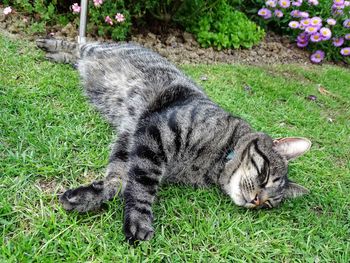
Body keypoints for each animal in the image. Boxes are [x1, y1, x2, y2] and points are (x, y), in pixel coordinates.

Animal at [36, 38, 312, 243]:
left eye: (269, 204)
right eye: (264, 176)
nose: (256, 201)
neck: (218, 158)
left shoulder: (130, 139)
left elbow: (117, 179)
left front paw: (86, 197)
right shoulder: (157, 133)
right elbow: (141, 185)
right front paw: (138, 221)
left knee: (76, 57)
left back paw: (57, 57)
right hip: (95, 49)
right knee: (79, 43)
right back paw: (49, 44)